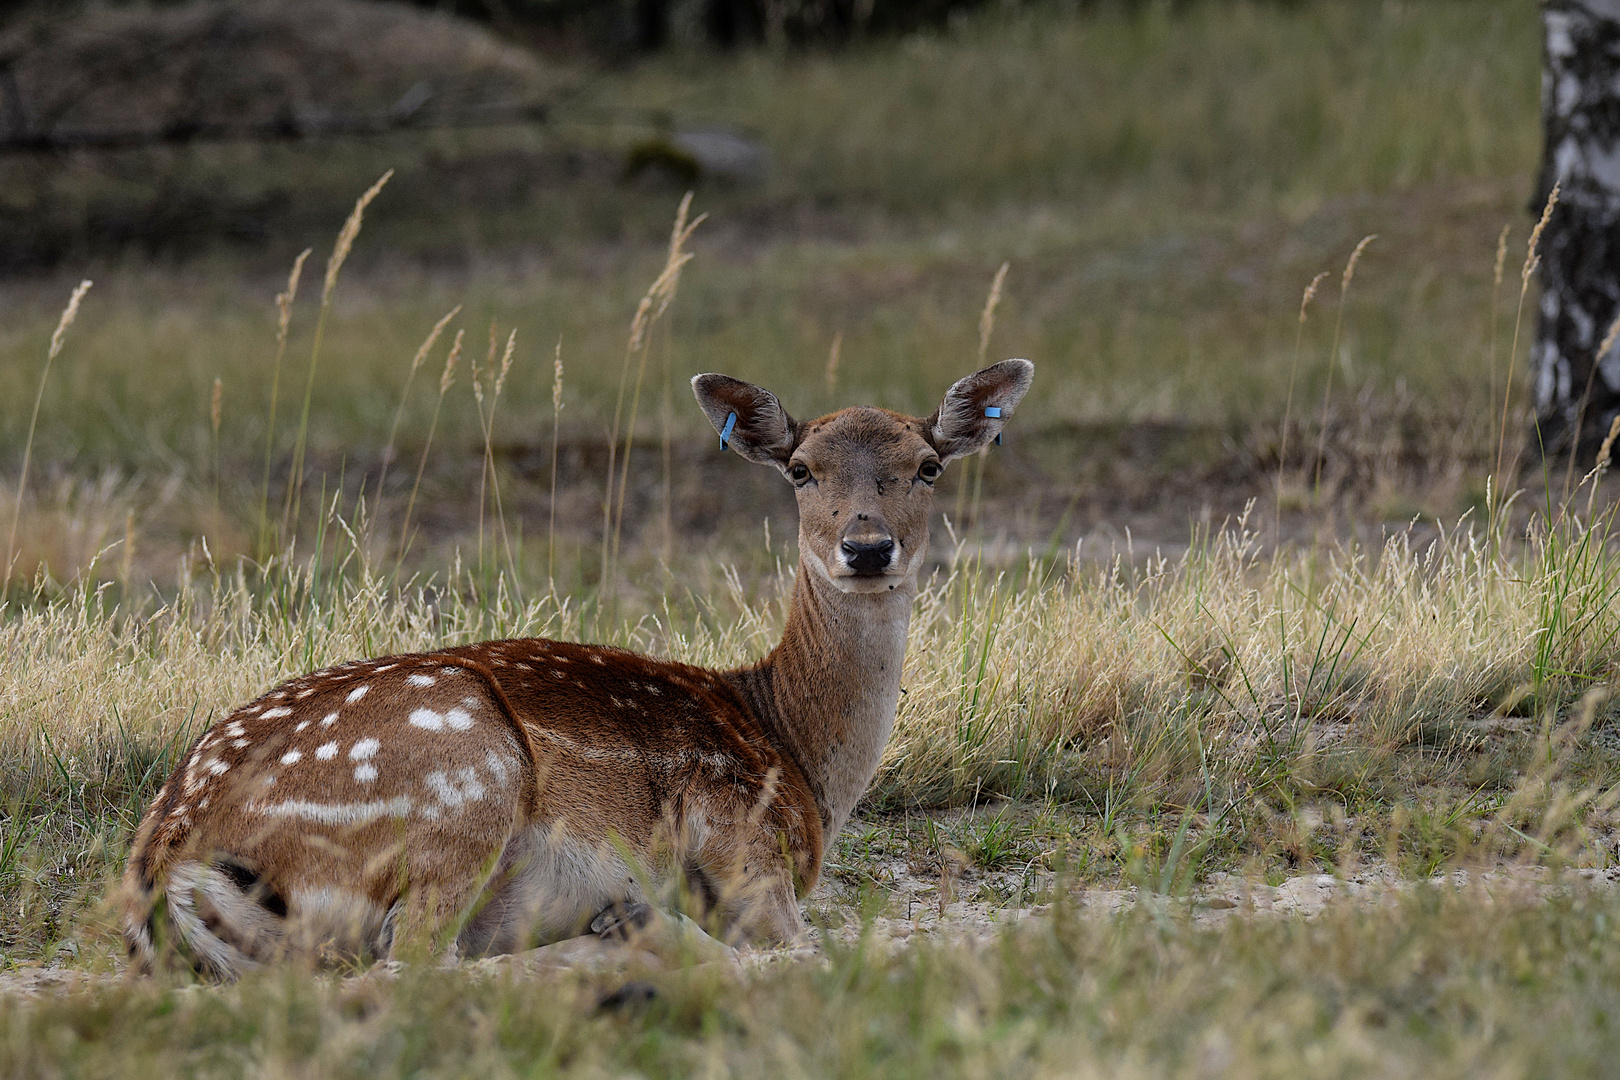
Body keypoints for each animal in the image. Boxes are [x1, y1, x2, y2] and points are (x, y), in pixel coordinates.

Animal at [126, 359, 1036, 977]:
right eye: (801, 469)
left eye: (928, 467)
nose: (868, 545)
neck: (797, 756)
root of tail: (168, 860)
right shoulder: (740, 844)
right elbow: (812, 952)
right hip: (462, 780)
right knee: (414, 965)